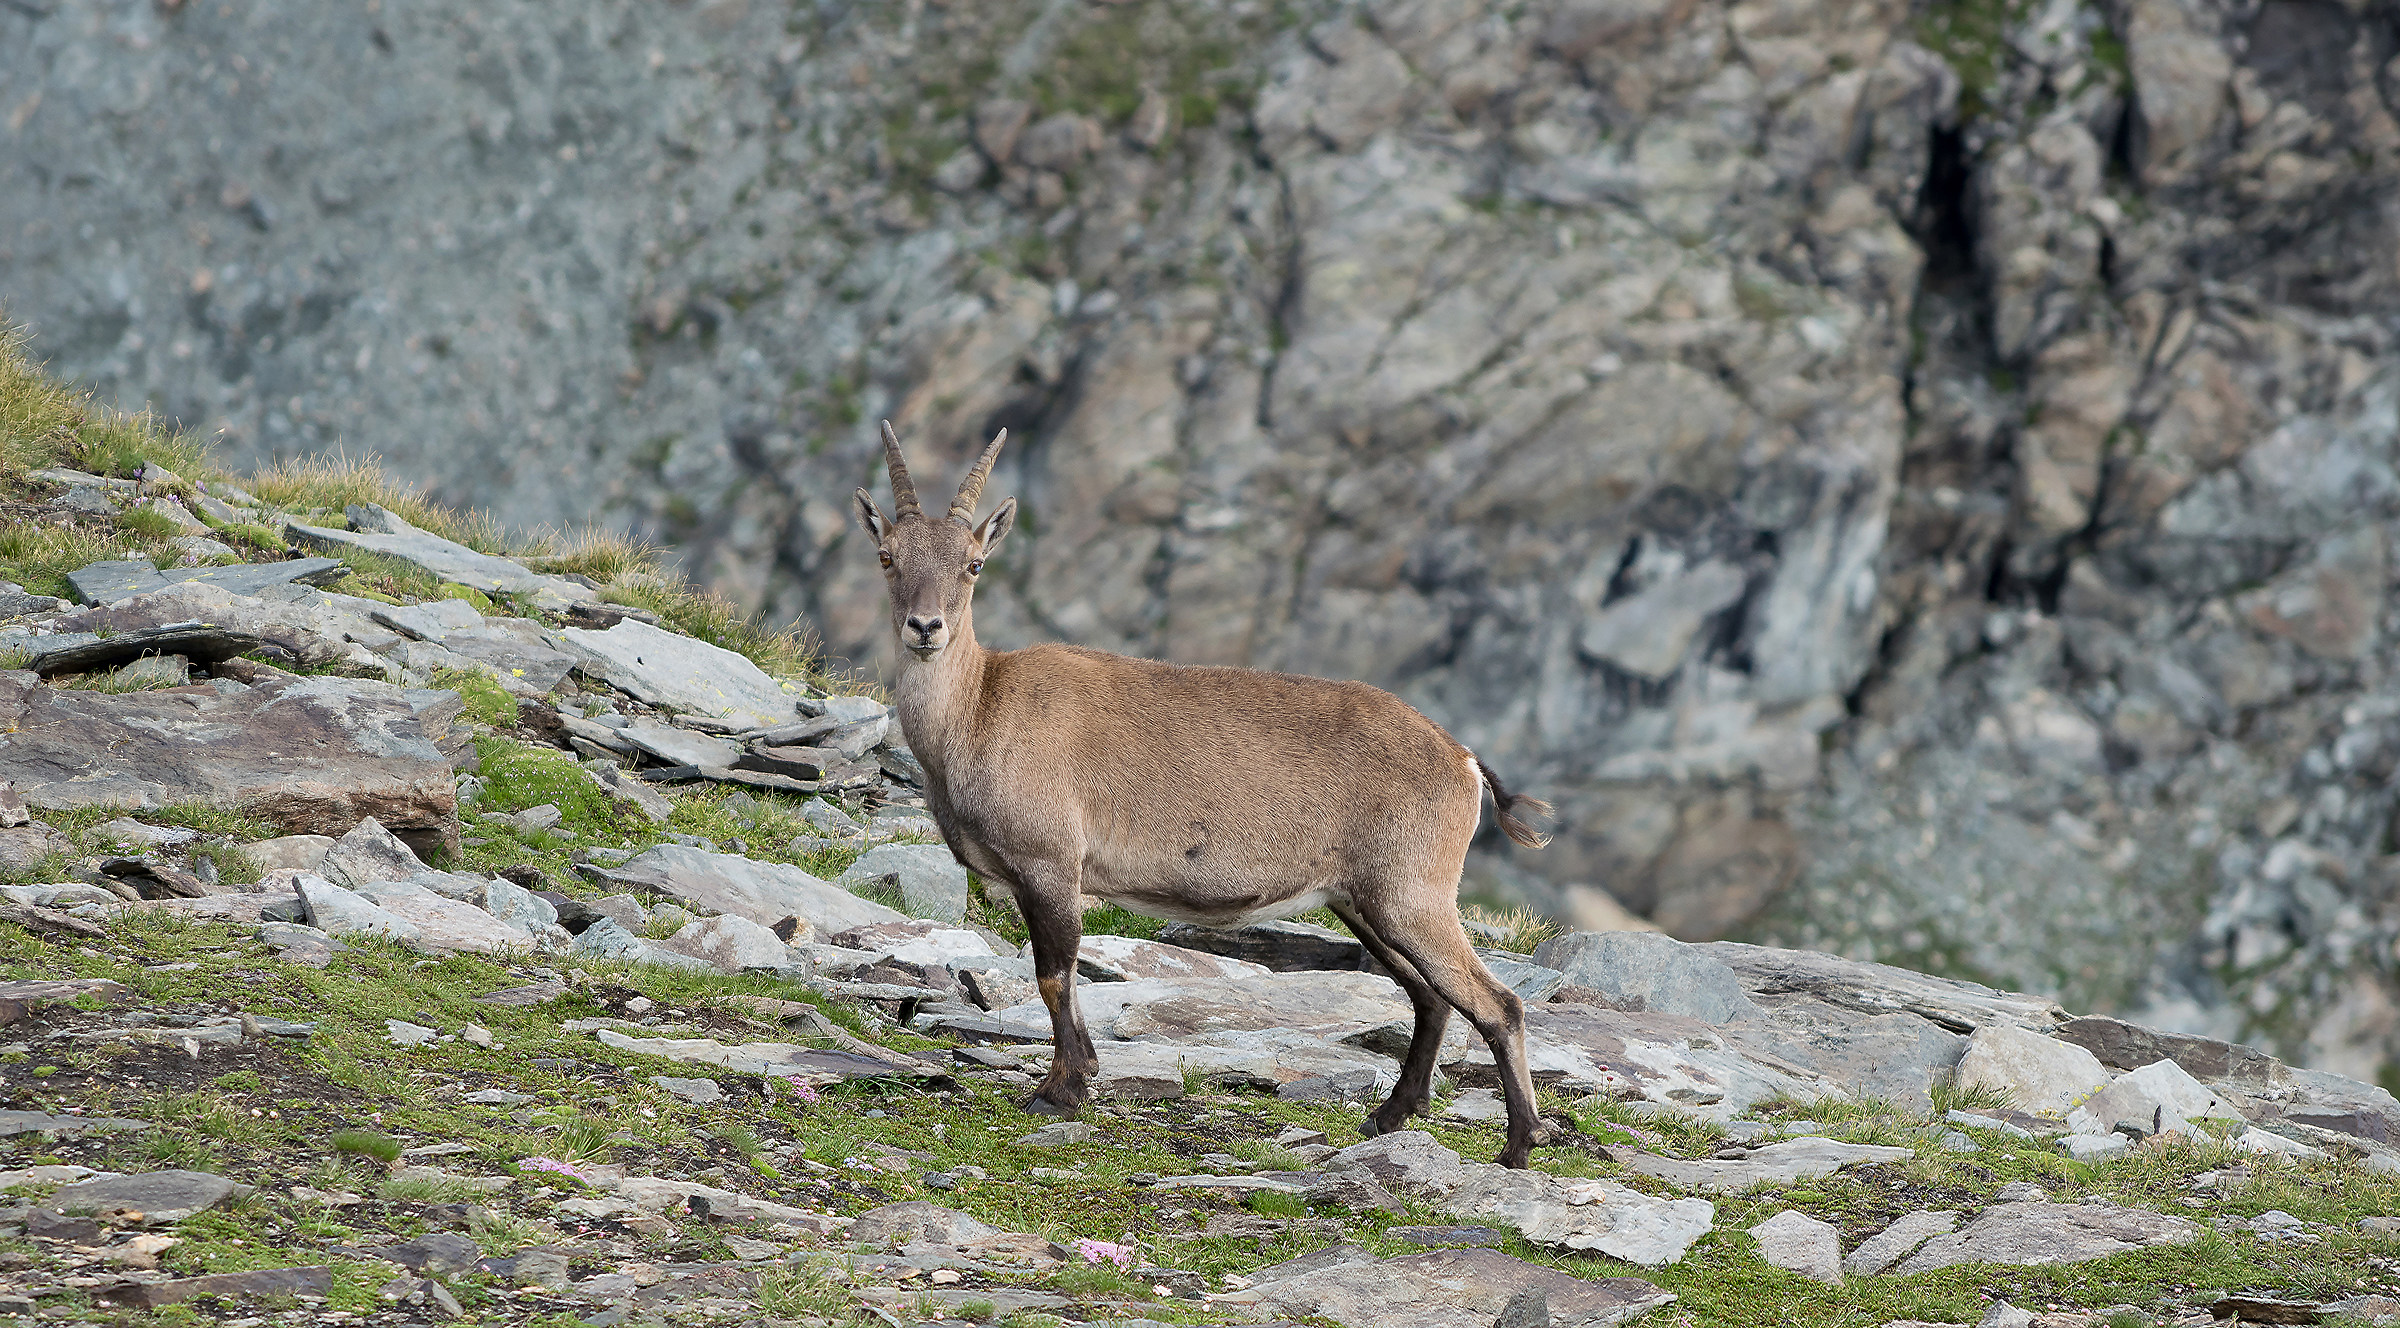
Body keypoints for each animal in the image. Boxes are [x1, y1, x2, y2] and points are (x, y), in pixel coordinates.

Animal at [854, 421, 1556, 1166]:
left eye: (974, 564)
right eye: (887, 556)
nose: (925, 628)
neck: (979, 707)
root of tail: (1463, 760)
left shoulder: (1050, 865)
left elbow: (1054, 974)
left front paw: (1060, 1091)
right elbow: (1055, 977)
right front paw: (1077, 1079)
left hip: (1413, 893)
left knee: (1496, 1002)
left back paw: (1518, 1144)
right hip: (1365, 900)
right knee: (1430, 995)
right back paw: (1391, 1116)